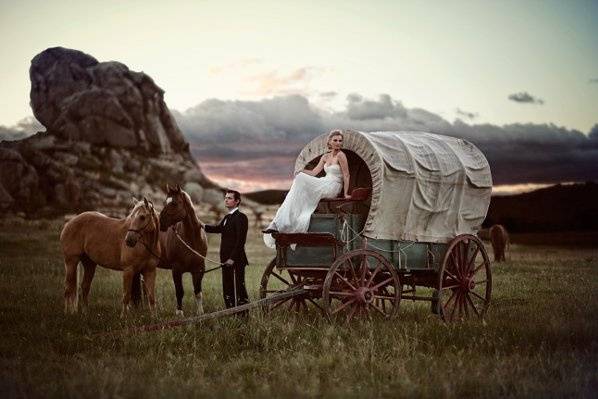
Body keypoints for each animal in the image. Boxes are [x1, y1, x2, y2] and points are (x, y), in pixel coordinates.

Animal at [157, 186, 209, 318]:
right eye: (164, 202)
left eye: (175, 203)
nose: (160, 222)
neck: (191, 240)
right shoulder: (176, 269)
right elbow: (179, 291)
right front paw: (179, 313)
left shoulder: (199, 269)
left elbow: (198, 292)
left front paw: (200, 312)